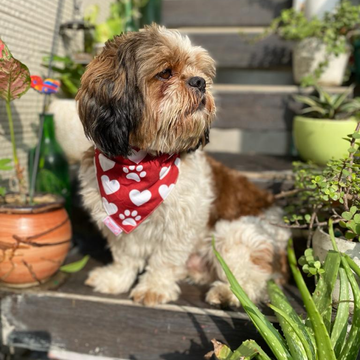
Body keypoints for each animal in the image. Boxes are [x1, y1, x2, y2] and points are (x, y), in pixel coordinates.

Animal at [76, 24, 290, 306]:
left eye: (199, 71)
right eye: (165, 73)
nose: (199, 81)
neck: (140, 163)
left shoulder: (181, 222)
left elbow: (164, 259)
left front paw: (154, 287)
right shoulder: (114, 221)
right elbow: (126, 256)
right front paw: (116, 279)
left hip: (234, 233)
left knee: (254, 277)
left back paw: (228, 292)